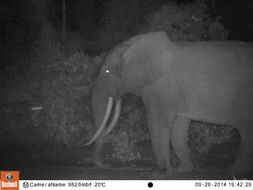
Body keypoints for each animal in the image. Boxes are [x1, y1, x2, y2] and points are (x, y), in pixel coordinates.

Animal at [85, 31, 253, 174]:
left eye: (107, 71)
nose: (106, 165)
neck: (134, 45)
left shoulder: (163, 88)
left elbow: (156, 122)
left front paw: (159, 173)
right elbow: (179, 128)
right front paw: (183, 171)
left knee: (246, 132)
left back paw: (234, 172)